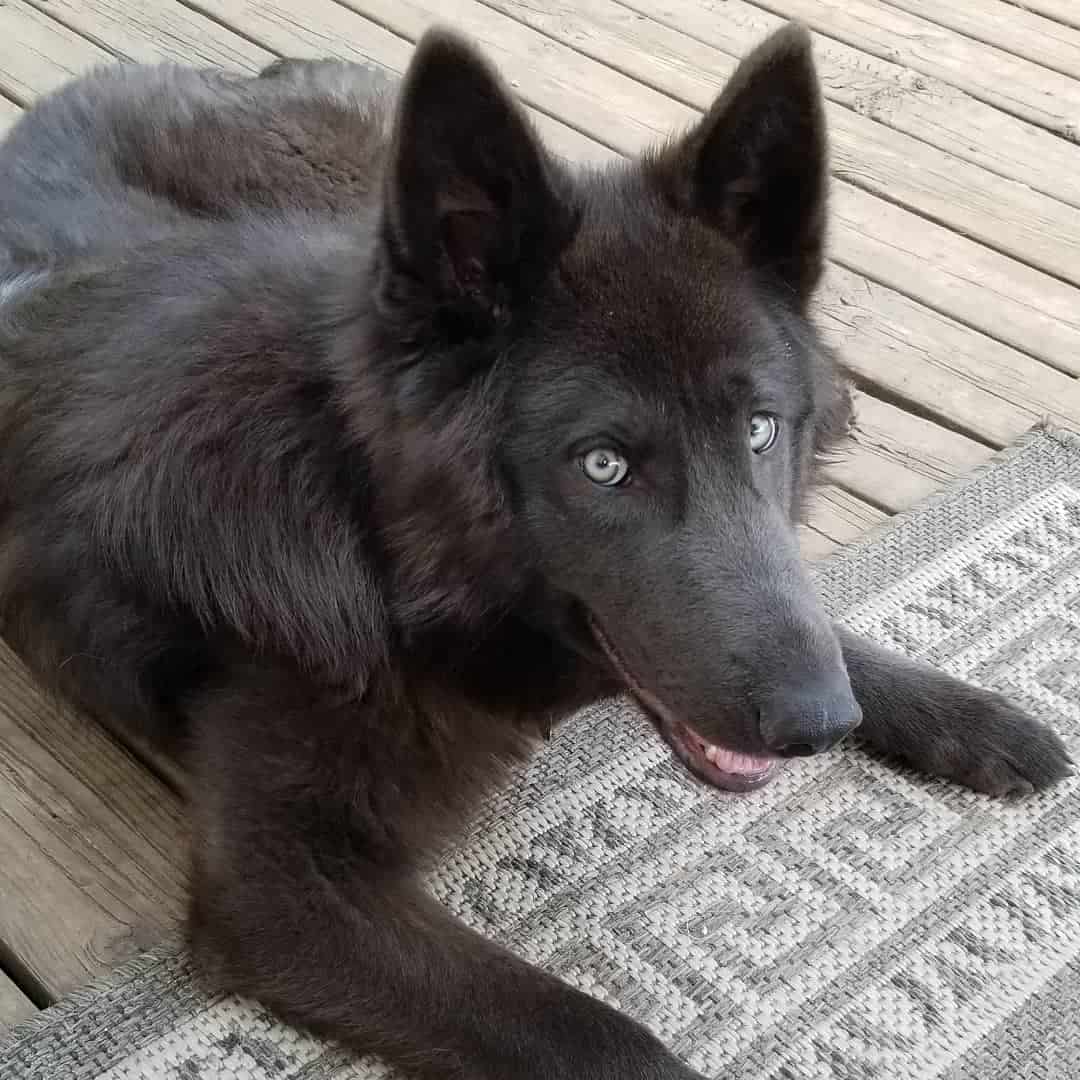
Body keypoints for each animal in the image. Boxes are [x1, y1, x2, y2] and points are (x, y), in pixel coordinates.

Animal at [0, 25, 1067, 1080]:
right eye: (603, 464)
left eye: (761, 430)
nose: (819, 725)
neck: (373, 542)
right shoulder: (281, 887)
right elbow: (595, 1035)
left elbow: (817, 614)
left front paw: (962, 713)